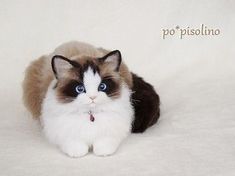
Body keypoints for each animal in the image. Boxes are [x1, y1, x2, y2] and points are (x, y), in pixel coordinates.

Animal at [22, 41, 160, 157]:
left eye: (102, 86)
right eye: (80, 89)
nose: (92, 97)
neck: (90, 115)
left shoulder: (111, 131)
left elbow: (104, 146)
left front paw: (101, 151)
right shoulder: (65, 133)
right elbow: (76, 147)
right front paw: (78, 152)